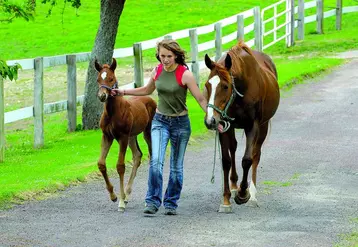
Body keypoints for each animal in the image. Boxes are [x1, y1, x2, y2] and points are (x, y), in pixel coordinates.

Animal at [95, 58, 157, 212]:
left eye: (111, 78)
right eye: (98, 79)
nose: (102, 96)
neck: (113, 112)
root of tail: (151, 100)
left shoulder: (122, 137)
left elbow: (120, 166)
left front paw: (121, 202)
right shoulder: (107, 136)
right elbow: (101, 163)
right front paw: (114, 196)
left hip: (147, 132)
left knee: (151, 156)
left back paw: (146, 198)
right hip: (132, 136)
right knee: (137, 155)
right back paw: (128, 194)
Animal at [204, 40, 280, 212]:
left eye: (225, 86)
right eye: (207, 85)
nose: (210, 121)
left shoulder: (253, 126)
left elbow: (247, 160)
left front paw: (243, 194)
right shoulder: (224, 125)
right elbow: (226, 160)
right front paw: (226, 200)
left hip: (263, 126)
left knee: (256, 155)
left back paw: (252, 196)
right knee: (233, 148)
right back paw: (233, 186)